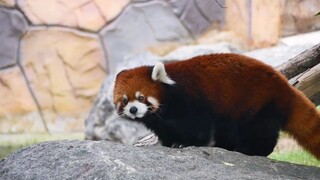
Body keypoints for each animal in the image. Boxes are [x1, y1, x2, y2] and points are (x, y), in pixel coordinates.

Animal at [113, 52, 320, 158]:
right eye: (125, 100)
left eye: (141, 98)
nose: (133, 110)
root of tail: (285, 86)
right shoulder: (160, 120)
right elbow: (166, 131)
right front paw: (169, 143)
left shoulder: (191, 100)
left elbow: (198, 127)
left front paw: (186, 143)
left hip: (256, 102)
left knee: (258, 131)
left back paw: (251, 150)